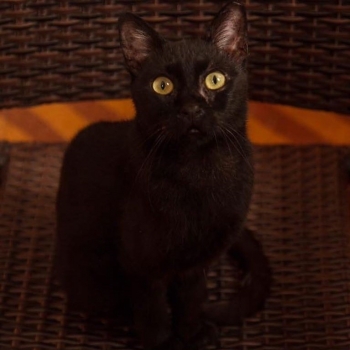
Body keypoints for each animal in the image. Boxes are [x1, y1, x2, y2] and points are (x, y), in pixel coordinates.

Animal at [55, 2, 270, 348]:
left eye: (214, 80)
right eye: (162, 85)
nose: (191, 108)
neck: (199, 171)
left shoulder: (196, 264)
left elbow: (192, 299)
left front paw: (192, 333)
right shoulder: (142, 267)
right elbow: (153, 312)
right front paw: (163, 341)